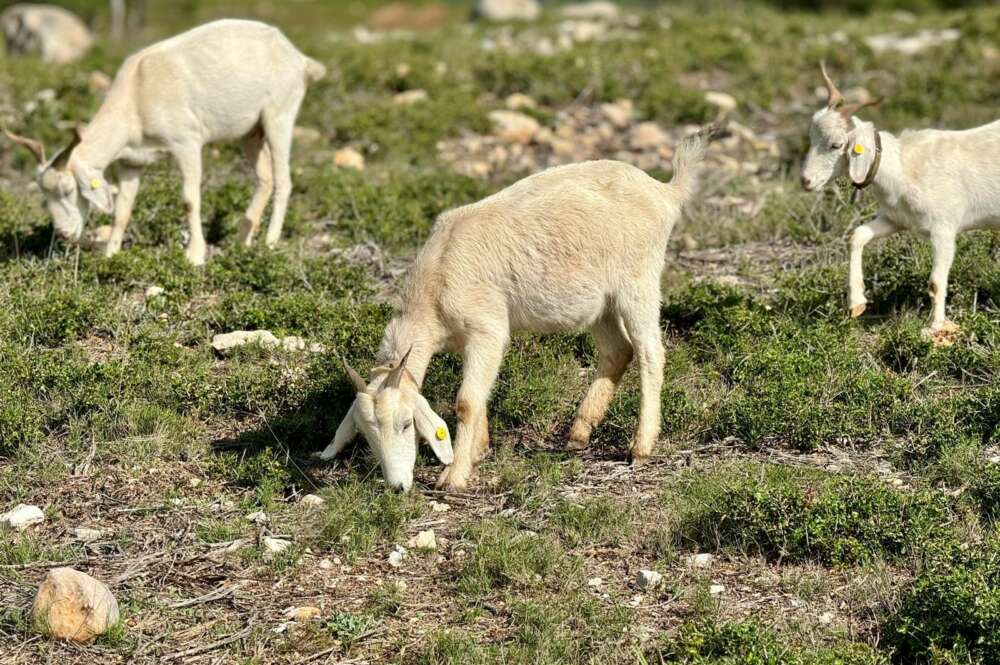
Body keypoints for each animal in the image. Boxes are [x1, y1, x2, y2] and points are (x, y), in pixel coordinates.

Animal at [3, 18, 324, 262]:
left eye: (69, 190)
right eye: (43, 197)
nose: (64, 233)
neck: (137, 92)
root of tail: (298, 58)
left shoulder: (187, 143)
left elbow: (190, 200)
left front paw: (195, 256)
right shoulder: (130, 162)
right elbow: (122, 210)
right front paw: (110, 254)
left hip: (280, 115)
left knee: (284, 181)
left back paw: (269, 243)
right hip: (250, 132)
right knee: (265, 178)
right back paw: (242, 243)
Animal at [320, 126, 720, 488]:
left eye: (406, 424)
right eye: (366, 434)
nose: (397, 486)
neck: (434, 286)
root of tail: (665, 191)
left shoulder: (487, 328)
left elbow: (466, 401)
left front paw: (454, 476)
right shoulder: (468, 339)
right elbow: (479, 397)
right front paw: (479, 449)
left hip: (638, 281)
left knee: (651, 352)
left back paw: (641, 447)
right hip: (600, 303)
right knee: (617, 350)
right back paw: (579, 432)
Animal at [800, 61, 1000, 342]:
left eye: (836, 144)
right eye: (810, 138)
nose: (805, 180)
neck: (903, 166)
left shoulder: (944, 230)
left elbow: (935, 282)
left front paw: (936, 329)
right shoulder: (895, 219)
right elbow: (857, 236)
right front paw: (856, 303)